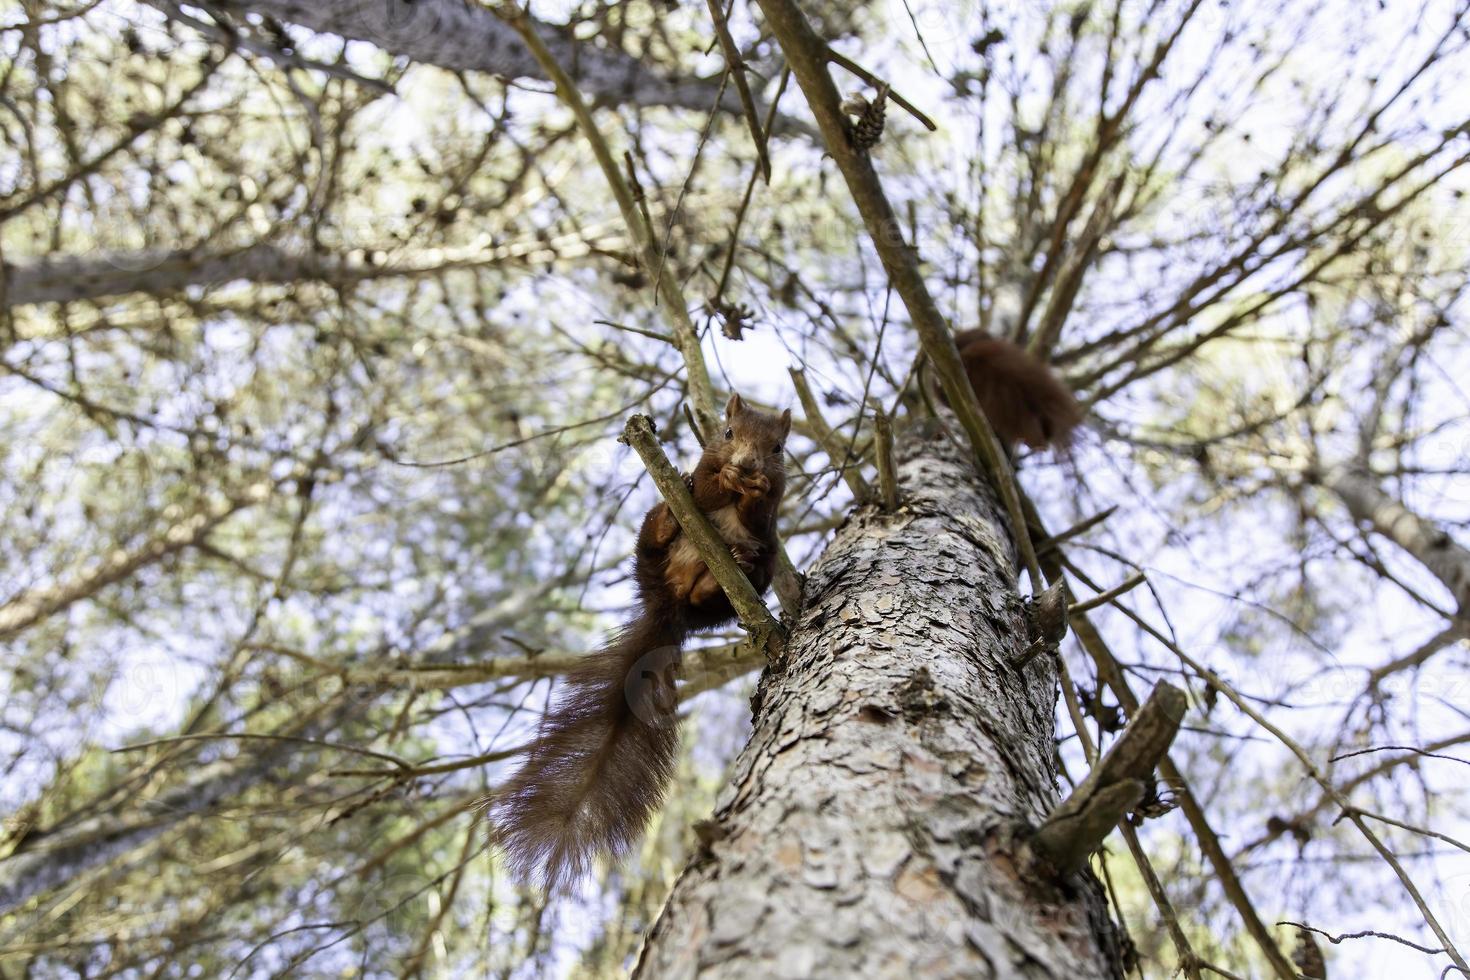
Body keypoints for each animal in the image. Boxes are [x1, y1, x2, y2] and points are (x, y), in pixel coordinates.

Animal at [490, 393, 793, 887]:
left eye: (779, 448)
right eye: (728, 433)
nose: (748, 465)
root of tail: (670, 600)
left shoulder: (772, 511)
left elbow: (760, 514)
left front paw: (753, 488)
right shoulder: (706, 470)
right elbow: (705, 488)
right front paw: (724, 480)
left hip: (756, 572)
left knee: (734, 577)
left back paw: (728, 570)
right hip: (649, 543)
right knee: (655, 536)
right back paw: (670, 523)